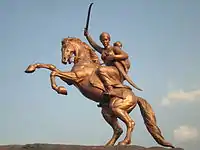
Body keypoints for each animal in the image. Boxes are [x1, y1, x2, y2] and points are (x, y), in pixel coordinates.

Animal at [25, 36, 174, 148]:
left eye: (66, 48)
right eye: (61, 49)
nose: (64, 60)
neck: (84, 62)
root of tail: (136, 97)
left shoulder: (75, 77)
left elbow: (54, 72)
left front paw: (60, 90)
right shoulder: (70, 79)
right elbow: (52, 67)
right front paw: (31, 68)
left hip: (118, 108)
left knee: (130, 123)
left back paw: (124, 143)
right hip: (107, 112)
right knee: (118, 129)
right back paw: (108, 145)